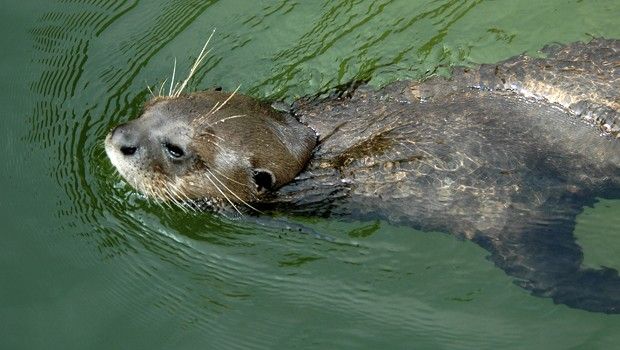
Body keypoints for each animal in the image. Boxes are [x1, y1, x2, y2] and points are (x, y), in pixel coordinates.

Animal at [105, 39, 620, 314]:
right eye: (151, 105)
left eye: (176, 150)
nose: (119, 139)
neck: (322, 149)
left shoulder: (505, 203)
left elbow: (551, 272)